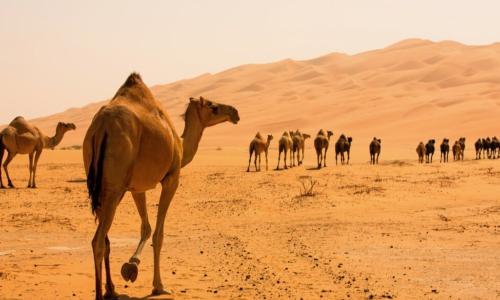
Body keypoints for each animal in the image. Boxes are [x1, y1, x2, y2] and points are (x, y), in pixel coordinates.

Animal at [82, 73, 238, 300]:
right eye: (213, 106)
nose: (235, 112)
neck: (180, 144)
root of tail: (102, 126)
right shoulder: (172, 179)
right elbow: (158, 234)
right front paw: (159, 286)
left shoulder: (137, 188)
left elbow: (145, 227)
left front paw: (131, 266)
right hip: (114, 188)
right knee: (98, 241)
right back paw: (100, 294)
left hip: (102, 184)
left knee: (105, 238)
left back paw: (111, 290)